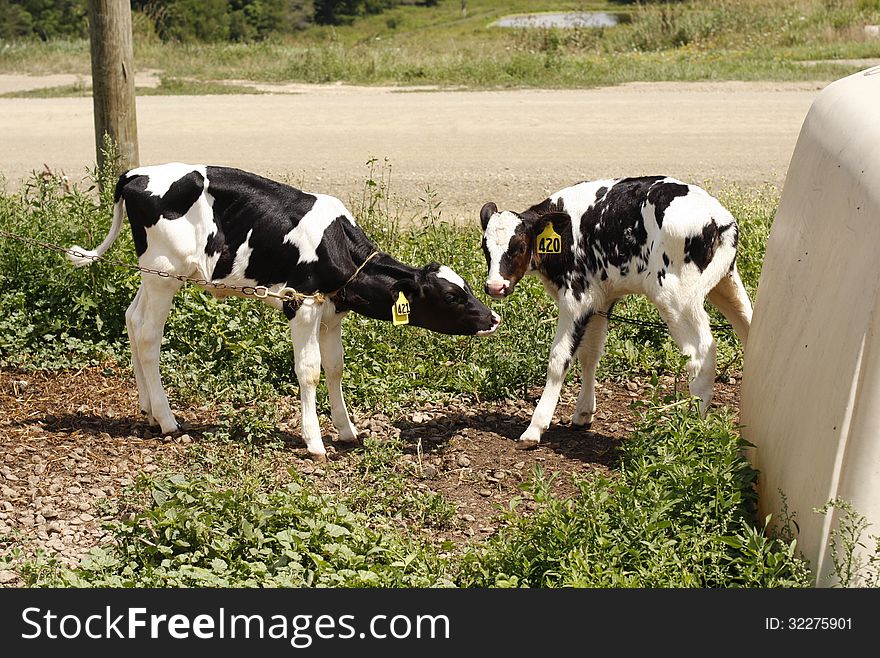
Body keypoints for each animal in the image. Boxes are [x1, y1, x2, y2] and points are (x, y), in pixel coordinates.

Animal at [69, 162, 498, 458]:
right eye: (452, 297)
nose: (494, 318)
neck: (337, 245)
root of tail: (135, 173)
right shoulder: (302, 304)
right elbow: (309, 370)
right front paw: (315, 441)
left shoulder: (331, 311)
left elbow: (335, 367)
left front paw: (347, 430)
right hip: (164, 273)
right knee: (148, 335)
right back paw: (166, 419)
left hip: (151, 275)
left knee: (131, 319)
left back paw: (146, 407)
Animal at [478, 174, 752, 446]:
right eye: (485, 249)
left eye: (520, 246)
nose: (494, 287)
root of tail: (718, 218)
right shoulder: (599, 300)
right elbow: (590, 354)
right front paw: (584, 412)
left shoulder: (575, 299)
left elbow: (559, 360)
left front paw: (535, 427)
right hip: (725, 284)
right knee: (747, 328)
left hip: (674, 297)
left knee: (700, 353)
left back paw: (693, 424)